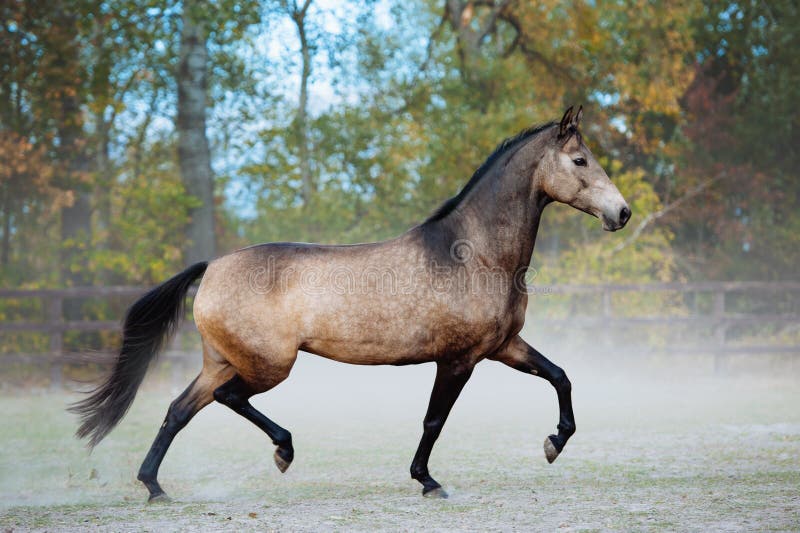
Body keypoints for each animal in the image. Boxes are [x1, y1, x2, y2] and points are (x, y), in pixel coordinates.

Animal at [70, 106, 632, 500]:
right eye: (580, 161)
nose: (621, 212)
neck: (473, 253)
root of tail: (211, 268)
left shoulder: (504, 346)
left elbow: (560, 376)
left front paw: (555, 443)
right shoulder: (459, 359)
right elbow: (433, 420)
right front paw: (427, 481)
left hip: (223, 360)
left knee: (178, 411)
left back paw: (155, 486)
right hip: (268, 364)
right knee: (228, 399)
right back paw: (282, 451)